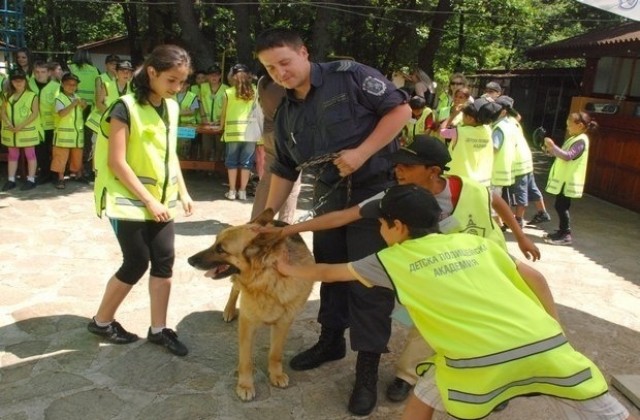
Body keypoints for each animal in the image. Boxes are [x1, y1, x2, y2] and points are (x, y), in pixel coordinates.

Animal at [186, 209, 314, 400]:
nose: (189, 260)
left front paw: (275, 374)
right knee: (234, 289)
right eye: (215, 243)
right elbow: (245, 360)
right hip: (238, 287)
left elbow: (275, 353)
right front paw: (245, 386)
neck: (268, 279)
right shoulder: (247, 324)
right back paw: (229, 310)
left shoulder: (283, 323)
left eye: (221, 249)